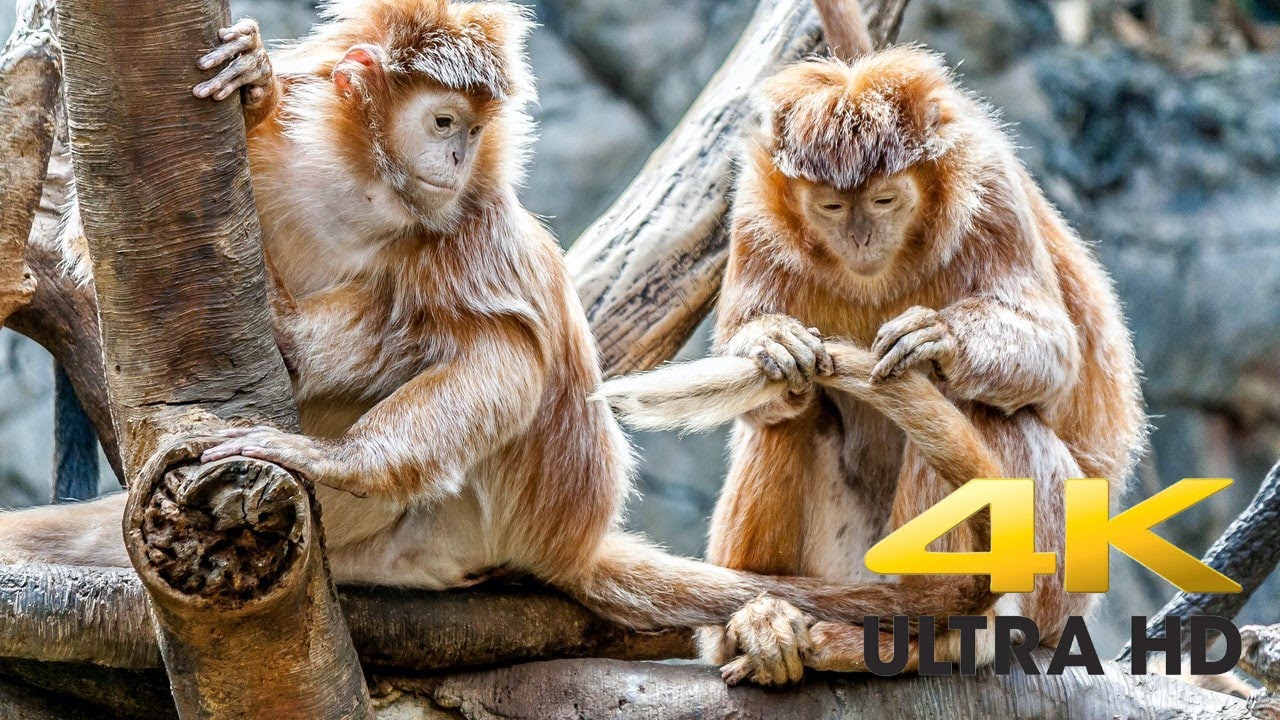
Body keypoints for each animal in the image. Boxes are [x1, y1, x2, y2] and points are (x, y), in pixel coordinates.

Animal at [598, 40, 1146, 684]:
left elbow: (1055, 356)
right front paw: (770, 345)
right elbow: (765, 387)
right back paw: (756, 624)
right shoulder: (754, 210)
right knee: (794, 415)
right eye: (832, 206)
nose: (861, 237)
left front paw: (942, 340)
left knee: (986, 414)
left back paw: (940, 634)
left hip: (1059, 576)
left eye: (885, 199)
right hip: (844, 567)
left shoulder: (990, 190)